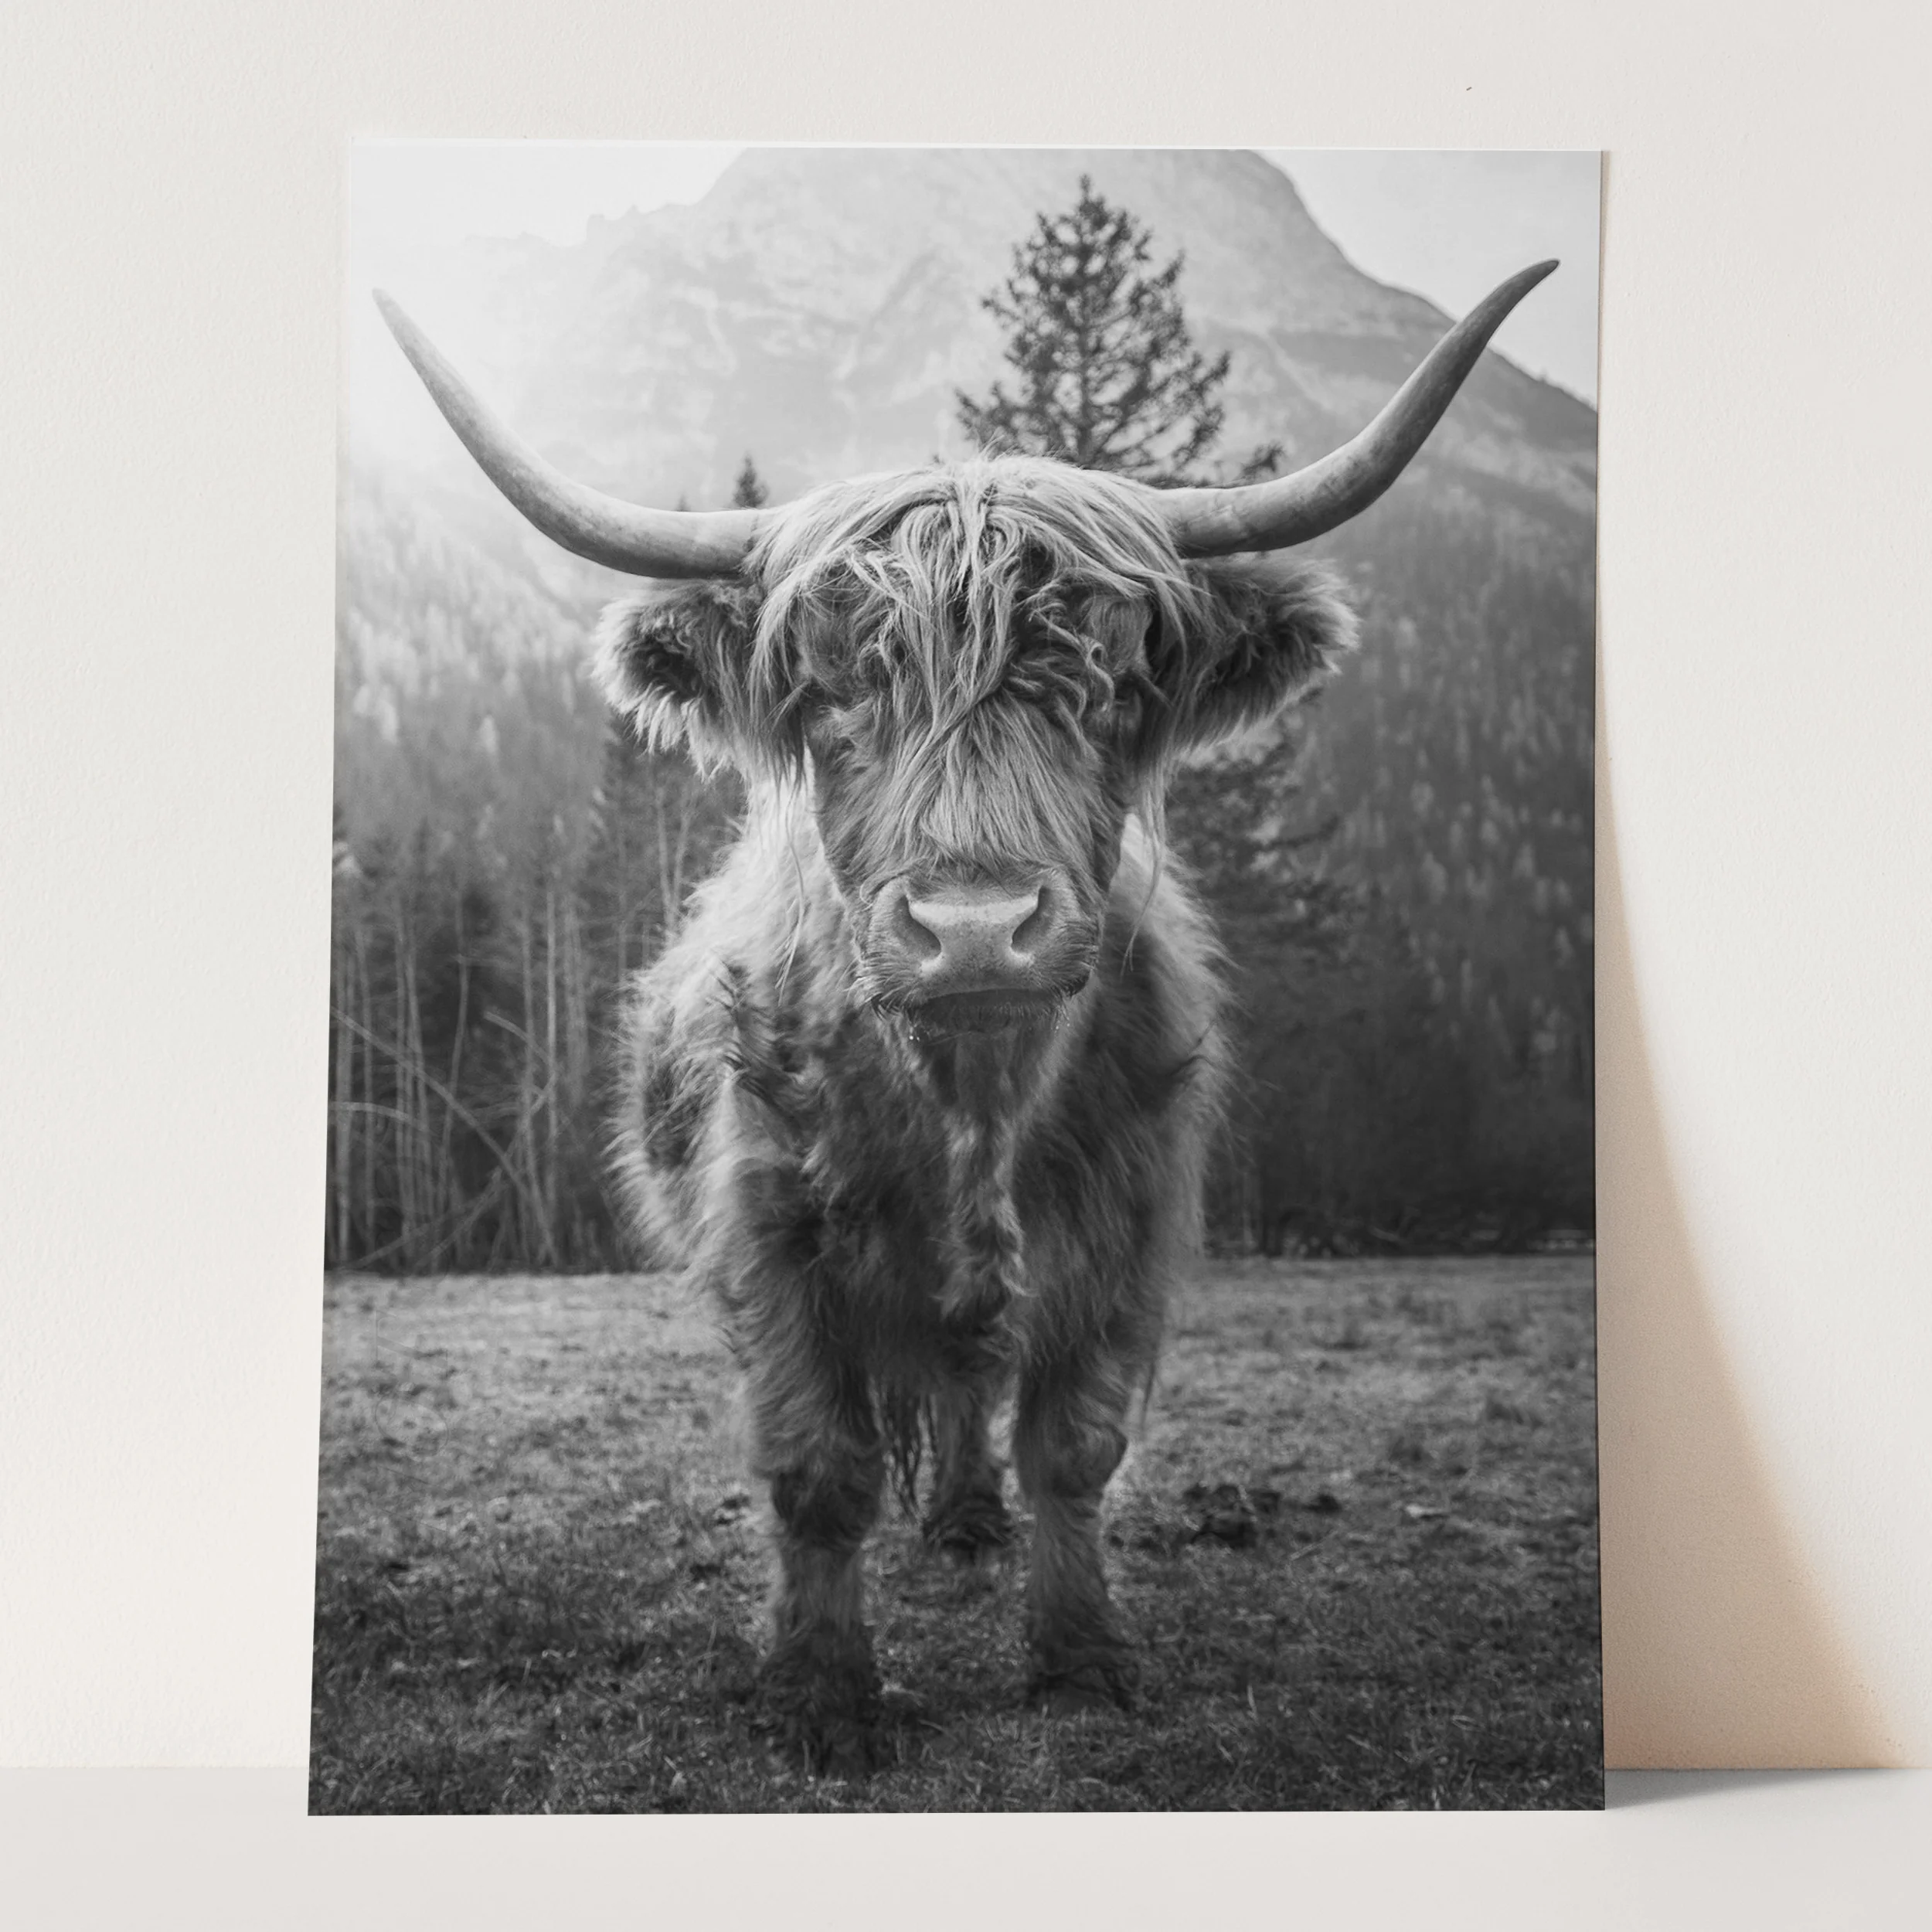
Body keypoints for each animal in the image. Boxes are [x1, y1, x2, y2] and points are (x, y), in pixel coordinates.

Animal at [376, 259, 1554, 1772]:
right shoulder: (771, 1235)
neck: (971, 1100)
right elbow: (816, 1469)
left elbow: (1073, 1445)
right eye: (830, 695)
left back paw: (970, 1519)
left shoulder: (1125, 1225)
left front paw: (1081, 1658)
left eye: (1112, 686)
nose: (979, 927)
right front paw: (821, 1692)